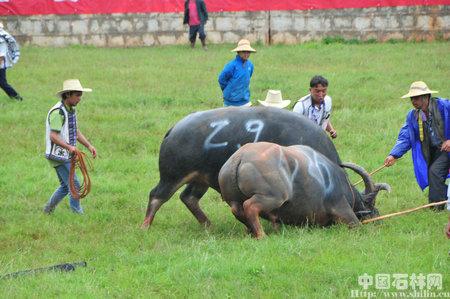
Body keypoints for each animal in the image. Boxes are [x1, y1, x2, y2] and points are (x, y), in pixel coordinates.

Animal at [143, 106, 342, 229]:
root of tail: (174, 129)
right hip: (172, 176)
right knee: (156, 196)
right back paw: (145, 226)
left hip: (200, 179)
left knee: (188, 198)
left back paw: (208, 225)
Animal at [218, 143, 390, 239]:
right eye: (371, 206)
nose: (379, 221)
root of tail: (239, 158)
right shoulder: (342, 208)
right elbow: (356, 224)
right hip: (273, 197)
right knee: (250, 206)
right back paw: (261, 235)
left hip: (234, 200)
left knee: (237, 210)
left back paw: (251, 232)